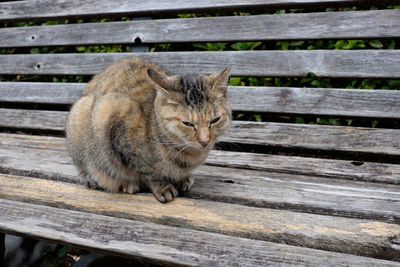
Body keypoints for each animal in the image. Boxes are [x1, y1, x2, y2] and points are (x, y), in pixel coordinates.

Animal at [65, 58, 231, 203]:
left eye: (215, 120)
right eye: (187, 123)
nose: (205, 140)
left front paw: (182, 178)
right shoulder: (115, 120)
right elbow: (148, 172)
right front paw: (163, 187)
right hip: (83, 114)